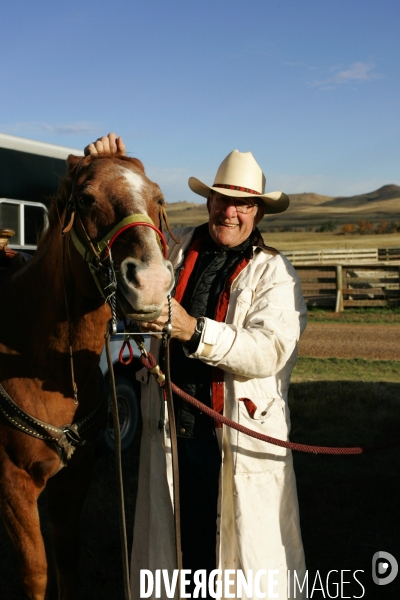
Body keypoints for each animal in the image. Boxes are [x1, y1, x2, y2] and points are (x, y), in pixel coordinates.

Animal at [0, 154, 173, 600]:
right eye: (85, 198)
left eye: (158, 198)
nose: (152, 283)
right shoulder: (13, 483)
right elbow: (36, 572)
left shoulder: (75, 477)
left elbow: (66, 558)